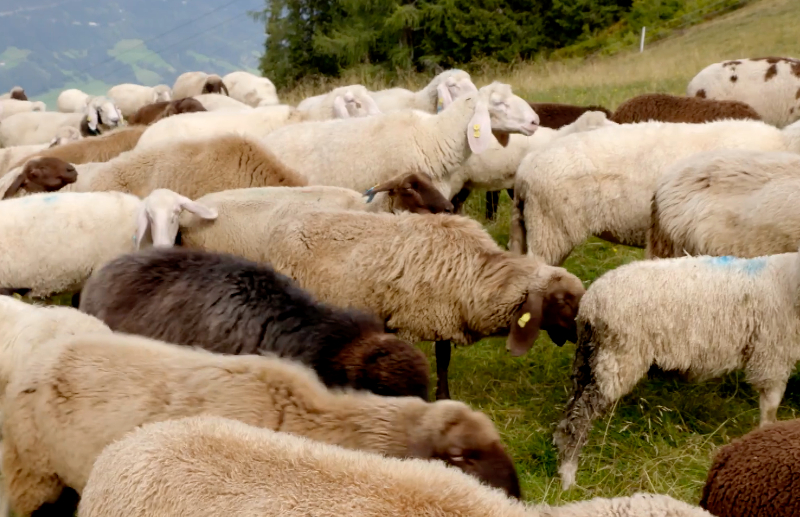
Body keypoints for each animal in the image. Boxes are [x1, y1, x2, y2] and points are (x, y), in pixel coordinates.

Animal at [178, 202, 585, 400]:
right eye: (564, 301)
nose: (582, 335)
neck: (477, 273)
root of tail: (280, 229)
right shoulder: (412, 315)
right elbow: (432, 358)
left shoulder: (440, 315)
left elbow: (443, 358)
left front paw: (444, 394)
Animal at [552, 248, 800, 490]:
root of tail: (590, 304)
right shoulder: (773, 353)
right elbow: (770, 406)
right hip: (618, 357)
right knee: (582, 415)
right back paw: (568, 475)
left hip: (588, 357)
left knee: (573, 405)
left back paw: (559, 447)